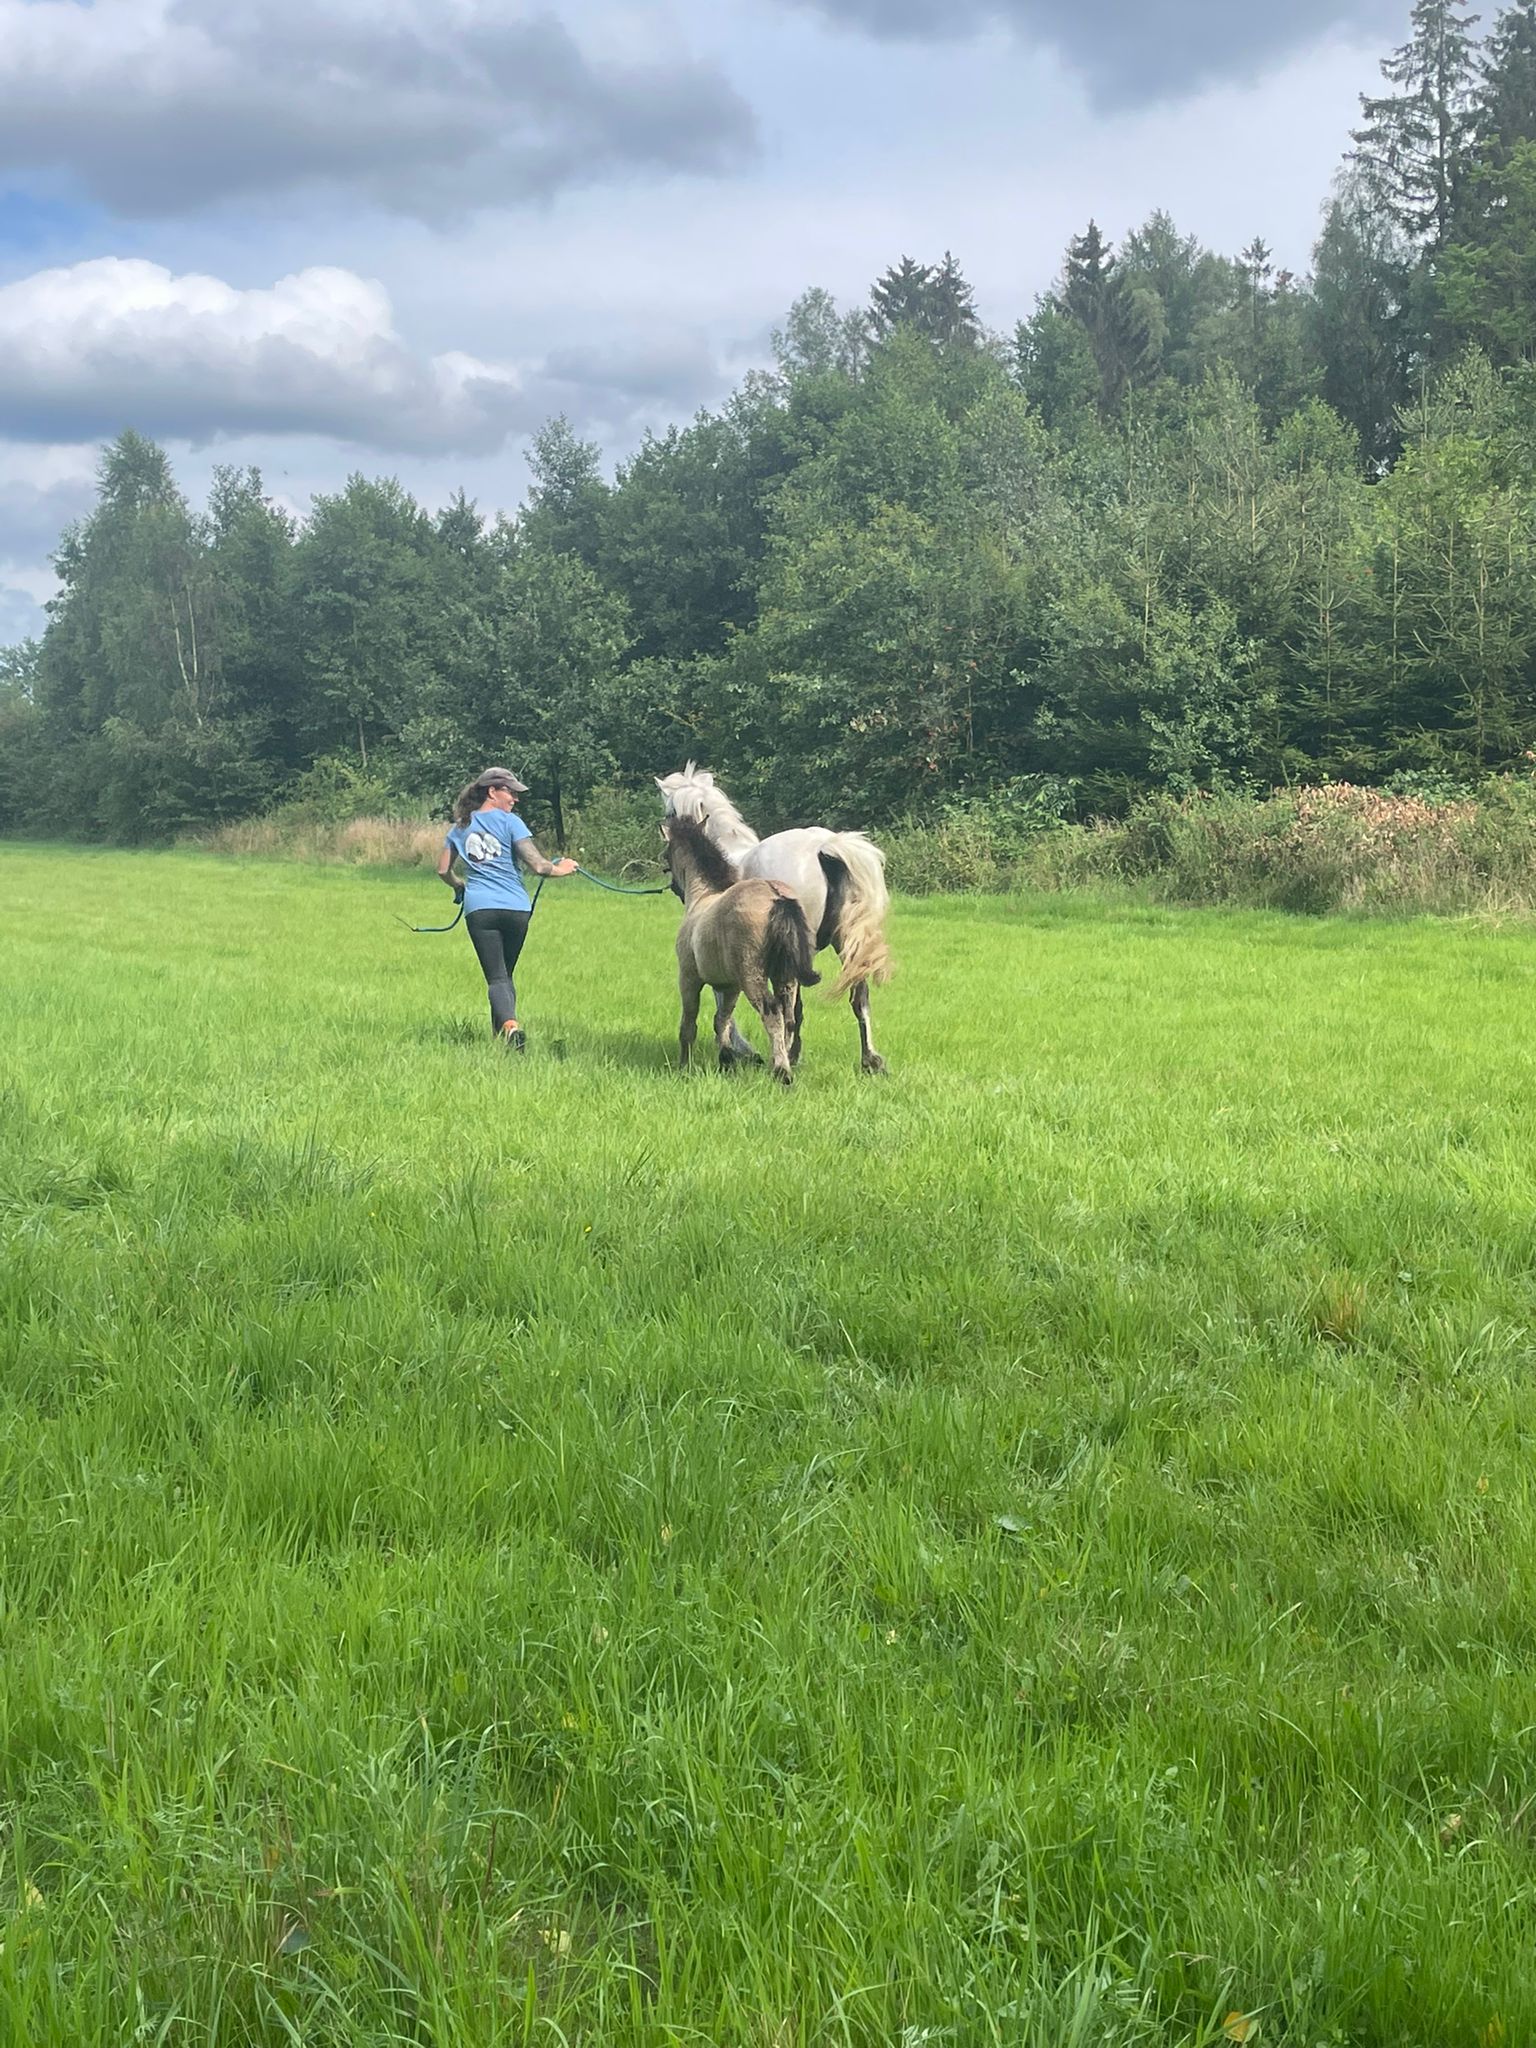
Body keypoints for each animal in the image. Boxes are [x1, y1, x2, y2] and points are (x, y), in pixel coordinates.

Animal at [655, 757, 897, 1073]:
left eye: (668, 810)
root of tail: (826, 847)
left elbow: (723, 1002)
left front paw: (739, 1048)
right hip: (848, 944)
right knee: (859, 999)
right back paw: (869, 1060)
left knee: (790, 1009)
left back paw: (787, 1058)